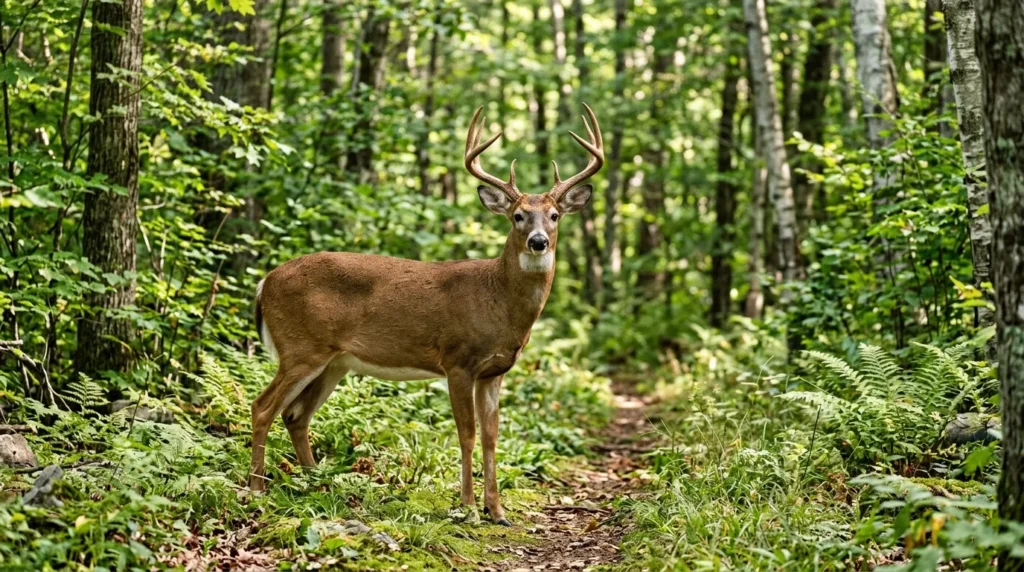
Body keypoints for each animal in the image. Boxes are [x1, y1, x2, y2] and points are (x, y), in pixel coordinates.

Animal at [249, 104, 603, 525]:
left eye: (554, 215)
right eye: (518, 216)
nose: (538, 242)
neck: (498, 300)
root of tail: (265, 281)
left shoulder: (495, 371)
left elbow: (491, 436)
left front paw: (497, 510)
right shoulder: (457, 360)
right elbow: (466, 434)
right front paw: (468, 508)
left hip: (334, 362)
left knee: (295, 415)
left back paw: (318, 485)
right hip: (301, 347)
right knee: (263, 407)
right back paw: (256, 489)